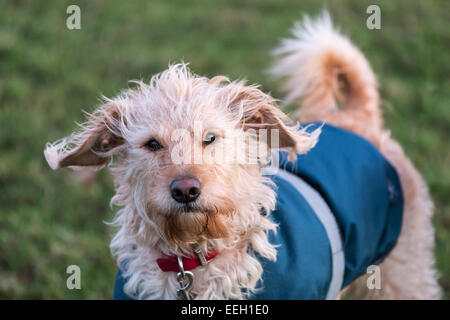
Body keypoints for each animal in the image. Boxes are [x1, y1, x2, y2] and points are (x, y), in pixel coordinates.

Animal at [44, 11, 440, 298]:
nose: (186, 190)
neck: (194, 258)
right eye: (152, 144)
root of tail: (358, 120)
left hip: (404, 272)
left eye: (210, 138)